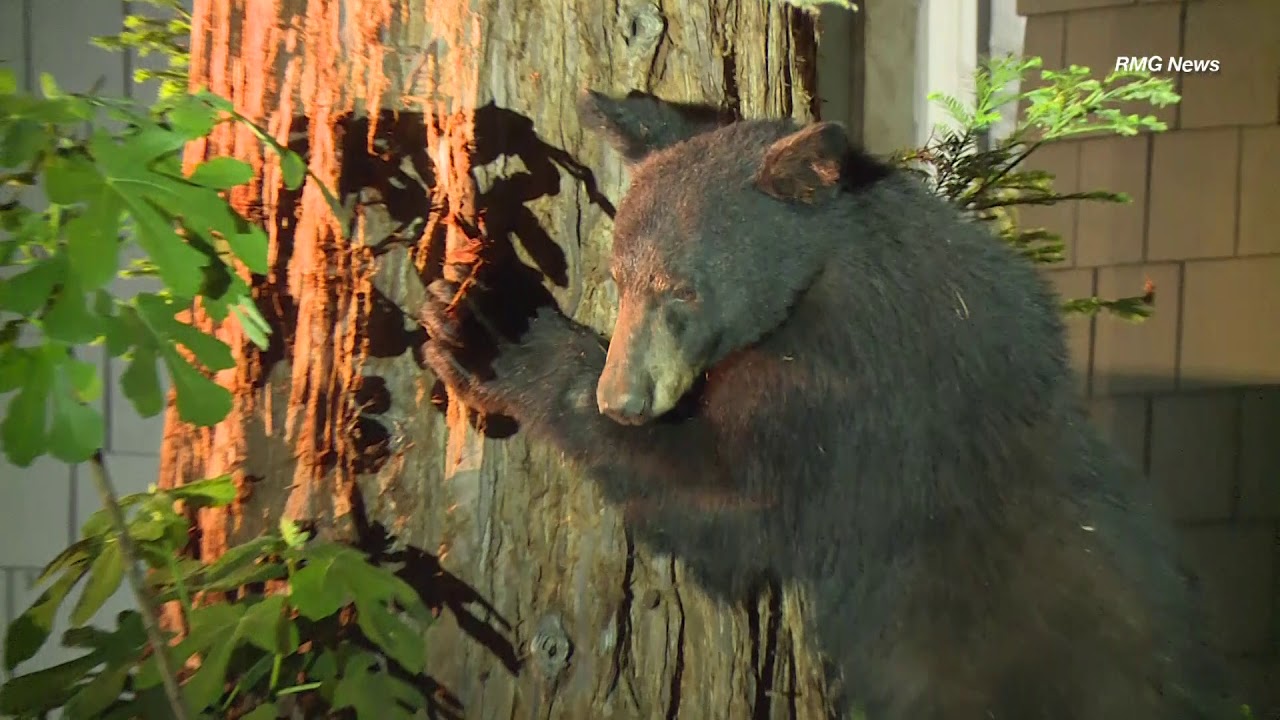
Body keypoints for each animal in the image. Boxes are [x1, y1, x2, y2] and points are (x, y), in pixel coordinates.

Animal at [418, 90, 1229, 719]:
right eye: (619, 278)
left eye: (684, 289)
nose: (625, 399)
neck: (831, 275)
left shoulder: (861, 402)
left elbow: (729, 497)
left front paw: (491, 325)